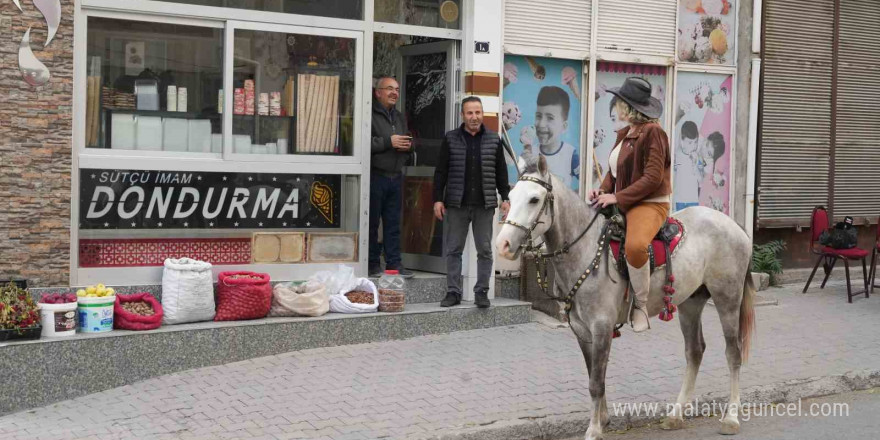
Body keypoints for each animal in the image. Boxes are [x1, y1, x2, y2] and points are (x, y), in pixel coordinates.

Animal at [496, 156, 756, 440]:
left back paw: (731, 418)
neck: (585, 249)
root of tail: (733, 225)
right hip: (691, 302)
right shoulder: (582, 330)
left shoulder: (601, 326)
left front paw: (594, 429)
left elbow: (596, 382)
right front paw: (603, 420)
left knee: (733, 353)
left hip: (727, 298)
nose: (503, 245)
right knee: (695, 351)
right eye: (510, 196)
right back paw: (676, 415)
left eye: (534, 199)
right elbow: (594, 374)